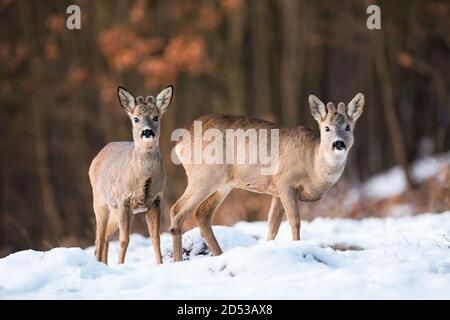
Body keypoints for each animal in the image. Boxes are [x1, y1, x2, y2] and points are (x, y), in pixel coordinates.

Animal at [89, 85, 173, 264]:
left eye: (156, 117)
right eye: (136, 119)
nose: (147, 132)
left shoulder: (156, 200)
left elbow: (156, 238)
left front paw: (160, 265)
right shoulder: (124, 199)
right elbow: (124, 240)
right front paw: (120, 265)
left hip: (114, 209)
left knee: (105, 236)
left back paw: (104, 264)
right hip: (100, 201)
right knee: (99, 237)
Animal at [169, 93, 362, 262]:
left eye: (348, 127)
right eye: (327, 128)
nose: (338, 143)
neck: (312, 164)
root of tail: (180, 141)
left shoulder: (276, 191)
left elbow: (272, 225)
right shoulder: (285, 181)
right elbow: (295, 221)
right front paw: (298, 247)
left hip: (222, 184)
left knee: (202, 214)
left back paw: (219, 255)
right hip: (204, 176)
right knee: (177, 210)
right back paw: (178, 260)